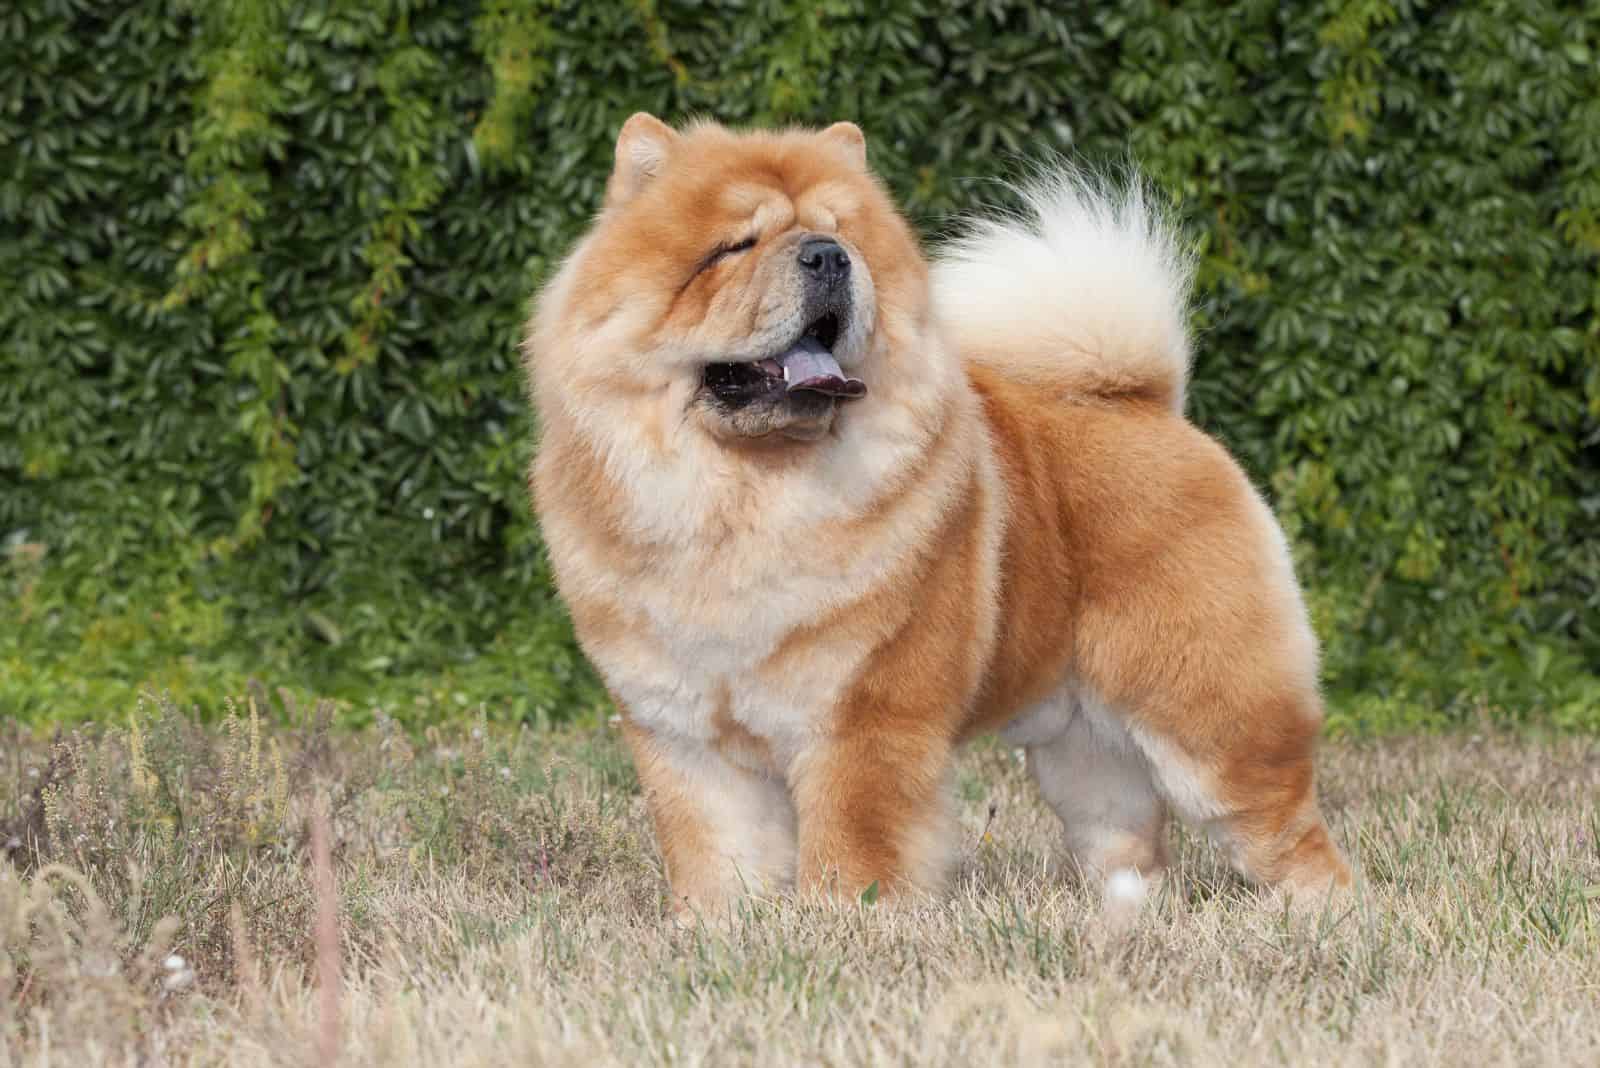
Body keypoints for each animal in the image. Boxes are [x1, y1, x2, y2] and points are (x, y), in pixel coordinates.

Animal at [528, 115, 1350, 920]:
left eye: (844, 238)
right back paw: (1123, 913)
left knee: (1287, 829)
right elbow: (717, 852)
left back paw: (1317, 913)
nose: (828, 257)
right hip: (1082, 746)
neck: (745, 493)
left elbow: (856, 841)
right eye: (734, 246)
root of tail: (1148, 404)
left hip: (1212, 721)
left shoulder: (864, 718)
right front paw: (718, 925)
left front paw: (846, 923)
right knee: (1125, 834)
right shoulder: (688, 736)